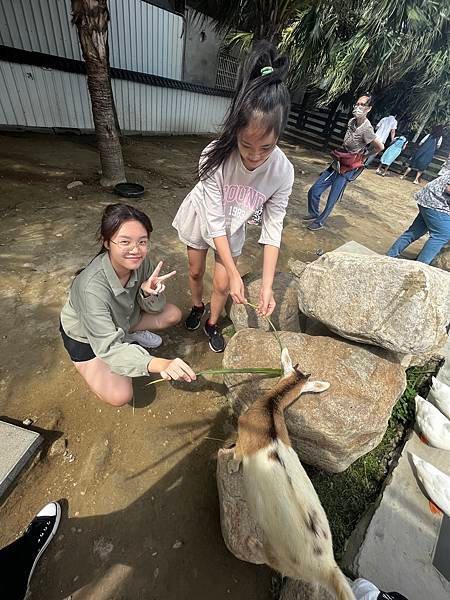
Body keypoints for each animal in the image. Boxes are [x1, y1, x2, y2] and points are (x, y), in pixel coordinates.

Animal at [232, 350, 356, 596]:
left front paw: (231, 465)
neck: (270, 406)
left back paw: (252, 544)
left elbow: (237, 453)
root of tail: (326, 565)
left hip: (284, 558)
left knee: (273, 562)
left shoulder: (242, 432)